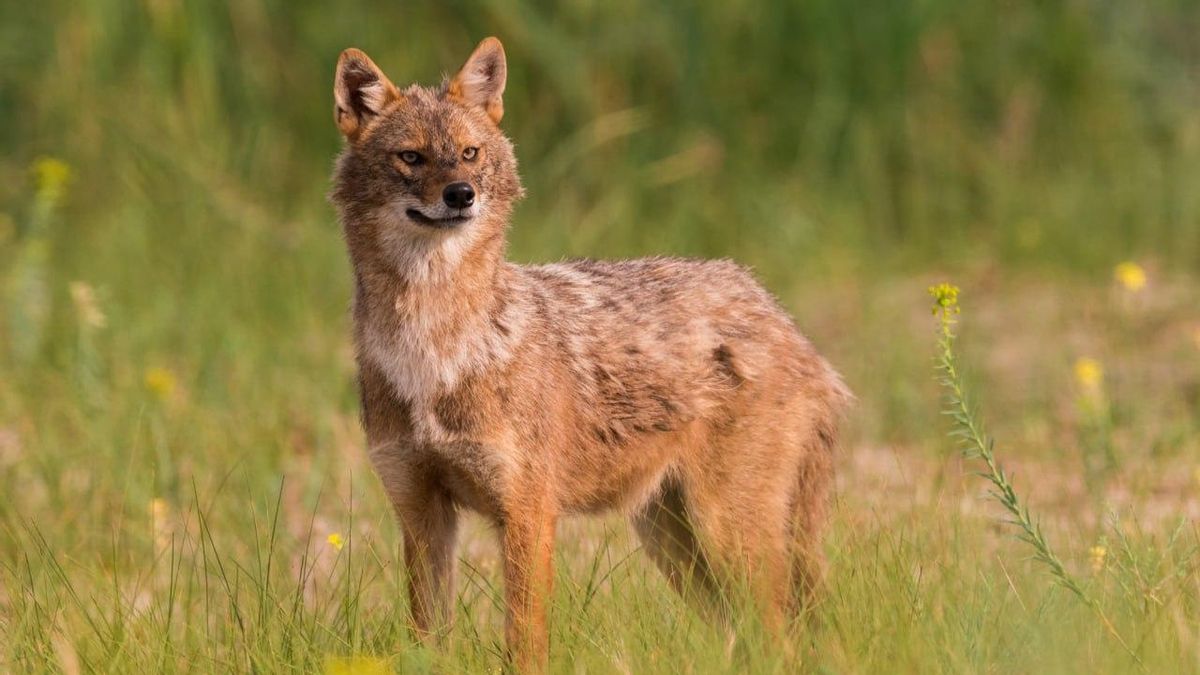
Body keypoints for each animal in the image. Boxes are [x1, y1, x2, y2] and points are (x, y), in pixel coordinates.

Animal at [330, 37, 851, 670]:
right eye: (411, 157)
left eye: (470, 153)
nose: (462, 195)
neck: (433, 353)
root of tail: (783, 319)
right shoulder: (421, 513)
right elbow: (428, 640)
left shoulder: (528, 512)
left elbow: (524, 643)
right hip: (675, 545)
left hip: (727, 535)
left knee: (781, 642)